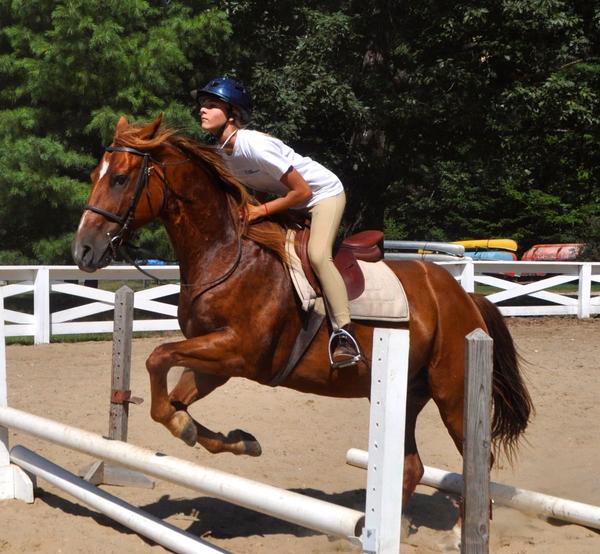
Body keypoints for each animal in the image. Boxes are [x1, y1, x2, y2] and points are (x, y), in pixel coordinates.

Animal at [72, 115, 532, 504]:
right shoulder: (215, 361)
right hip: (408, 393)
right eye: (95, 175)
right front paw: (234, 439)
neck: (226, 253)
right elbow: (171, 401)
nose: (83, 250)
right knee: (411, 467)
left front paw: (195, 428)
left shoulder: (239, 352)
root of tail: (463, 297)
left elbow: (157, 357)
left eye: (120, 178)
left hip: (452, 393)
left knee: (477, 462)